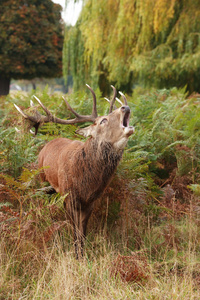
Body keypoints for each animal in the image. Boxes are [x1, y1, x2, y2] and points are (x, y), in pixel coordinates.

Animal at [14, 84, 134, 258]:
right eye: (103, 121)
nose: (125, 107)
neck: (86, 183)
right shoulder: (69, 196)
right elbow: (75, 230)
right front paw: (75, 255)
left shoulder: (91, 201)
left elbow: (83, 231)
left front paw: (82, 255)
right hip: (43, 181)